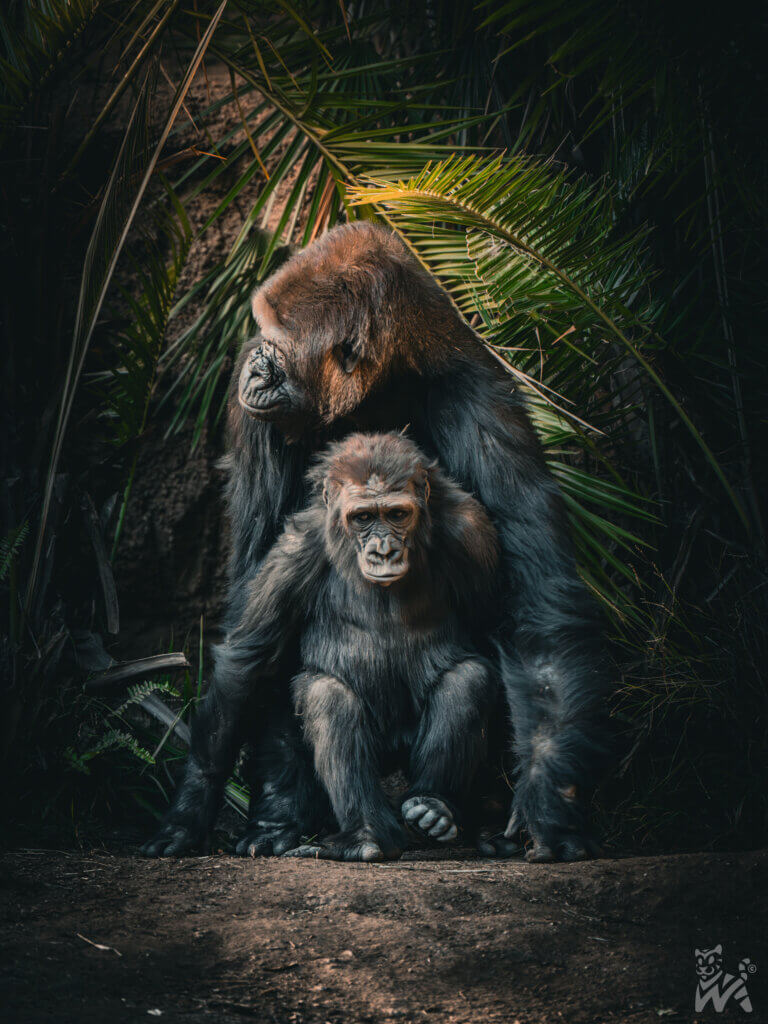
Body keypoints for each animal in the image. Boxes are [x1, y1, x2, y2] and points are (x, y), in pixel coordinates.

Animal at [141, 221, 608, 863]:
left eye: (276, 348)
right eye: (260, 340)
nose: (254, 361)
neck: (381, 382)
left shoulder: (483, 402)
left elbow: (535, 599)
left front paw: (549, 806)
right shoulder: (253, 420)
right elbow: (257, 602)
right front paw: (213, 808)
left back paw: (456, 817)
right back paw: (294, 819)